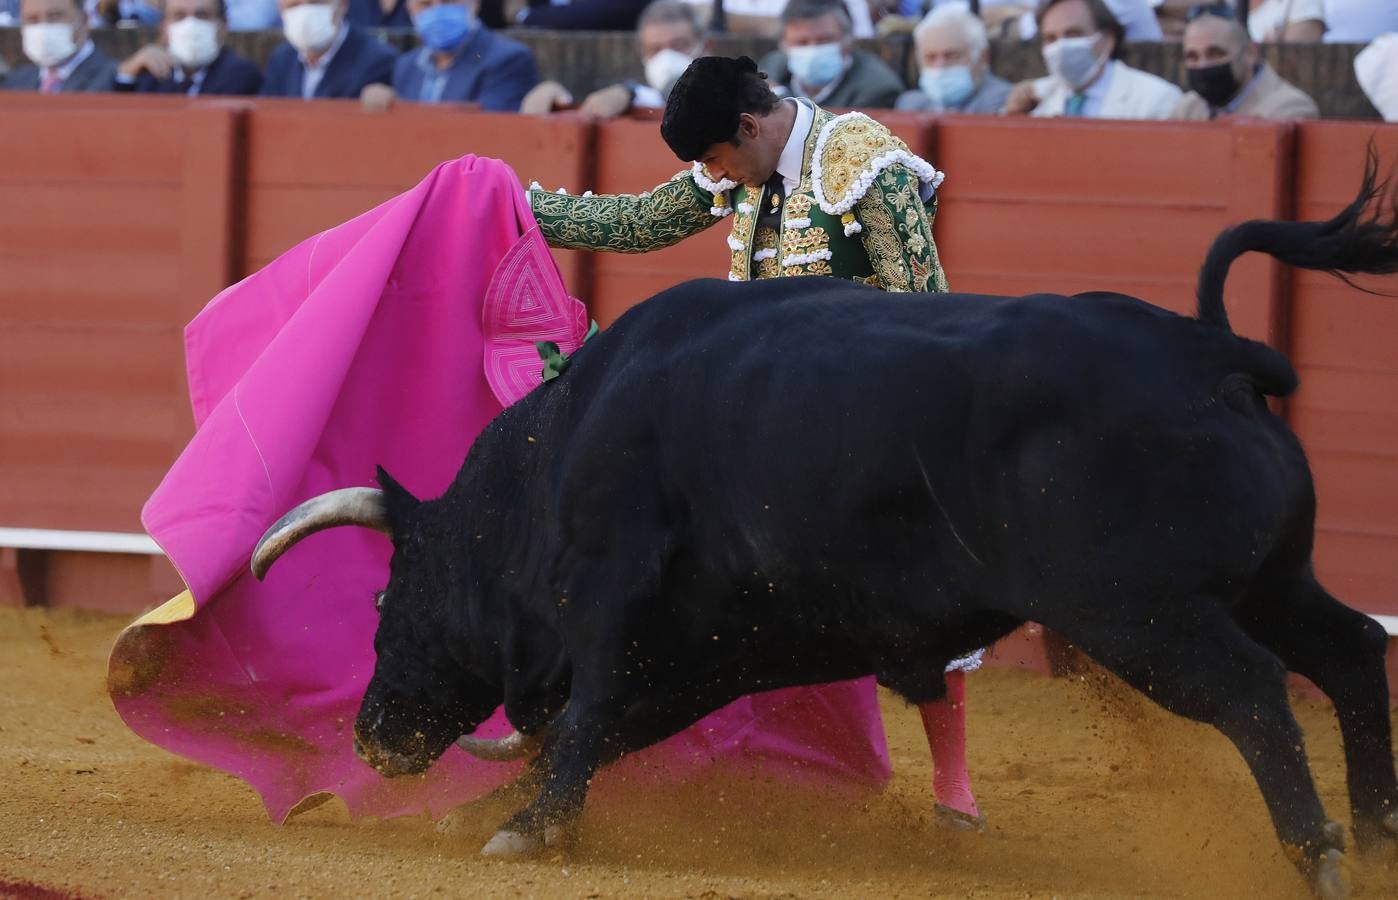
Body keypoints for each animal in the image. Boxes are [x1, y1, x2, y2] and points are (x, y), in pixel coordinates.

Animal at [251, 160, 1398, 894]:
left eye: (388, 596)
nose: (373, 734)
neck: (555, 464)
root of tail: (1212, 353)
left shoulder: (617, 614)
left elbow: (585, 717)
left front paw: (524, 830)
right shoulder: (711, 646)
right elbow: (605, 727)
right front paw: (492, 814)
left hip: (1140, 612)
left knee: (1256, 694)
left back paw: (1320, 856)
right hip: (1268, 581)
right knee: (1349, 651)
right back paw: (1379, 835)